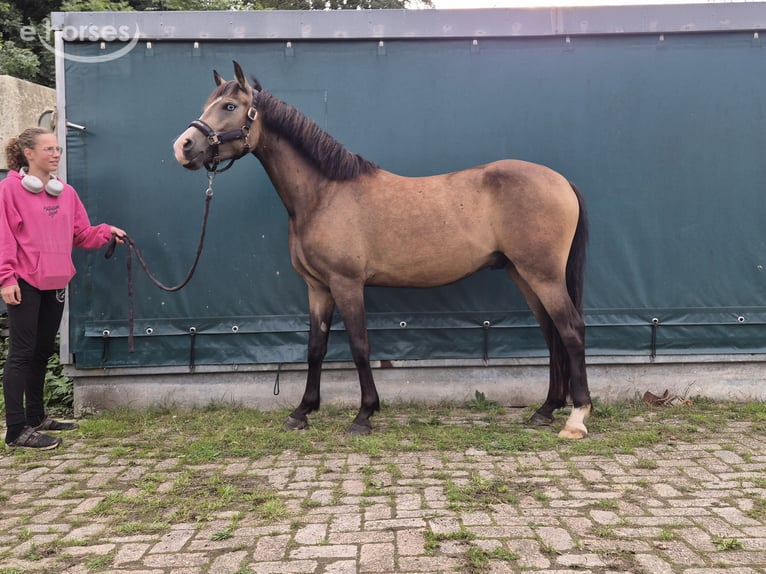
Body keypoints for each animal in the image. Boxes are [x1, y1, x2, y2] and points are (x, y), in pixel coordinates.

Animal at [173, 61, 592, 439]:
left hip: (542, 274)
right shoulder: (318, 288)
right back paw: (546, 410)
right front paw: (302, 412)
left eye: (229, 106)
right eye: (209, 103)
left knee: (570, 330)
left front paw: (364, 415)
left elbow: (359, 345)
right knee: (552, 333)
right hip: (522, 273)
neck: (324, 194)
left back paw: (576, 417)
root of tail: (561, 181)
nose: (183, 147)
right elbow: (315, 348)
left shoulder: (346, 284)